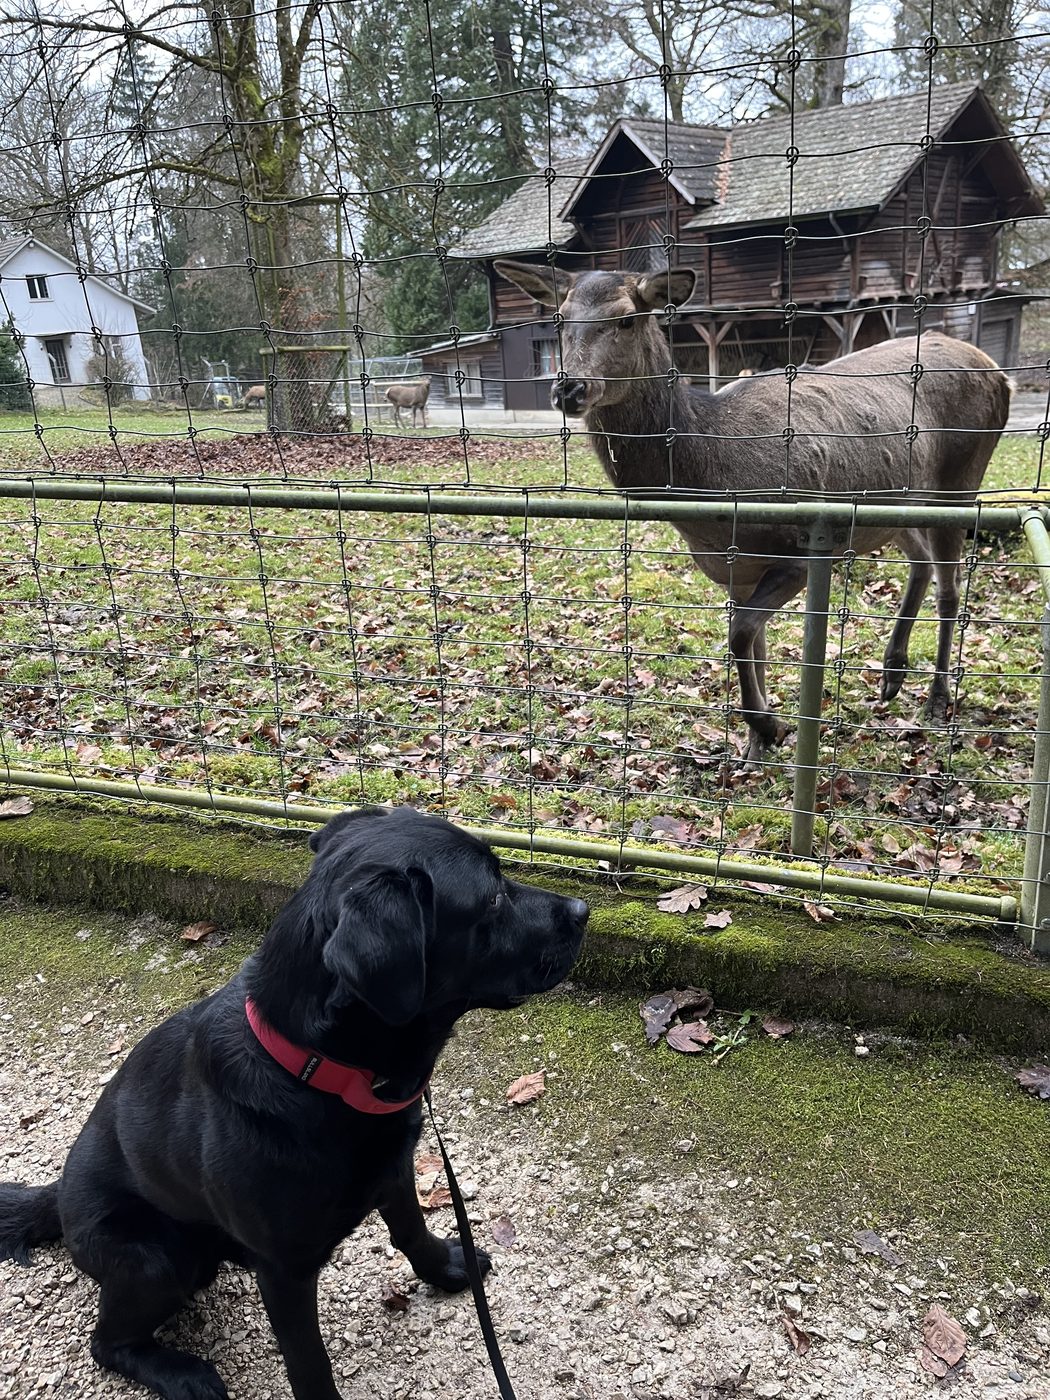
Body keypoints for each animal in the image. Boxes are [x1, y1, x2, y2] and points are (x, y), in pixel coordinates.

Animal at [495, 261, 1011, 767]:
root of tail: (998, 370)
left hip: (961, 478)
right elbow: (754, 644)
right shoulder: (734, 570)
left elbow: (740, 634)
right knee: (920, 561)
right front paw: (755, 744)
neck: (711, 495)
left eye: (626, 318)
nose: (569, 388)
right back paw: (892, 672)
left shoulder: (800, 552)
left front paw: (769, 726)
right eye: (559, 318)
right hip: (891, 505)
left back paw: (938, 698)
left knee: (950, 587)